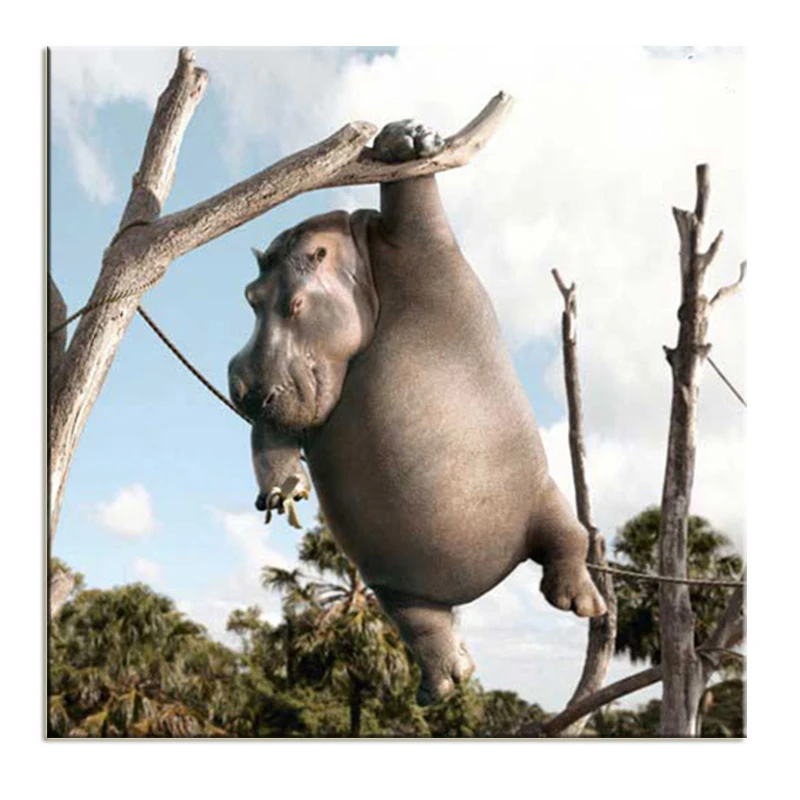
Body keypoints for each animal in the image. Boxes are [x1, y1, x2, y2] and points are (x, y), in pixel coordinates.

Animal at [228, 119, 606, 705]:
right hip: (394, 584)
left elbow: (414, 195)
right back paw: (444, 686)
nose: (242, 388)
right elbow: (272, 440)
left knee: (568, 540)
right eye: (250, 296)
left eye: (295, 304)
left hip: (543, 495)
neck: (354, 258)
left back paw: (581, 605)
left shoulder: (418, 240)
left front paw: (405, 139)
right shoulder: (286, 404)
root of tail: (480, 583)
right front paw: (281, 493)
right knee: (428, 627)